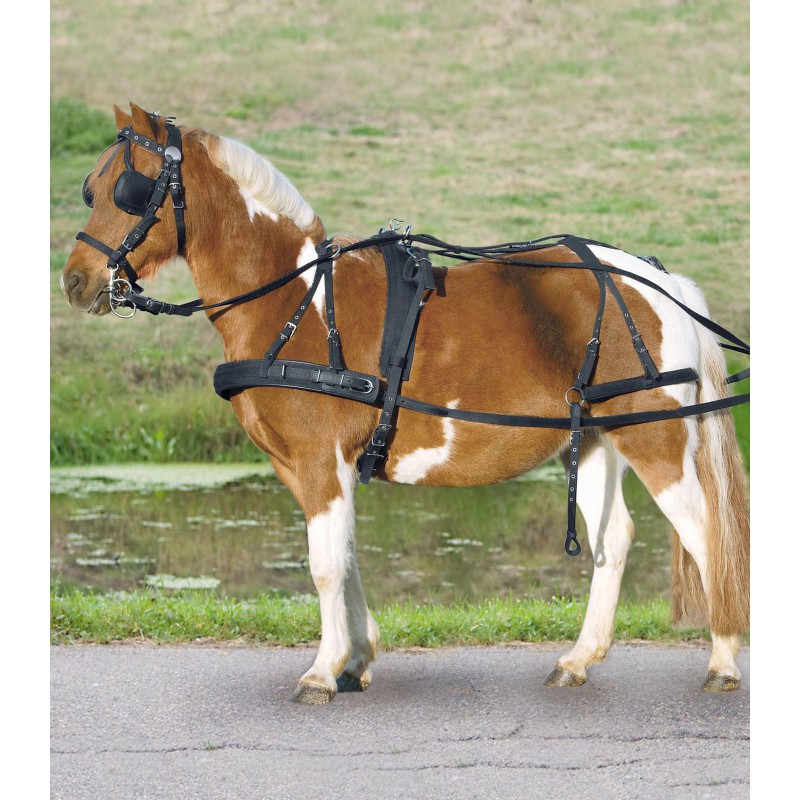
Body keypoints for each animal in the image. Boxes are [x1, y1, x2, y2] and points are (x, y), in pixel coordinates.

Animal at [60, 103, 749, 704]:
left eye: (129, 188)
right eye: (90, 189)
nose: (75, 281)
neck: (294, 302)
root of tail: (660, 280)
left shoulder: (319, 459)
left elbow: (323, 565)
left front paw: (321, 671)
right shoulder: (311, 467)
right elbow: (345, 556)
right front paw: (354, 660)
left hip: (656, 439)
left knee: (704, 530)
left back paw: (722, 659)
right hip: (600, 437)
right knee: (616, 538)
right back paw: (579, 660)